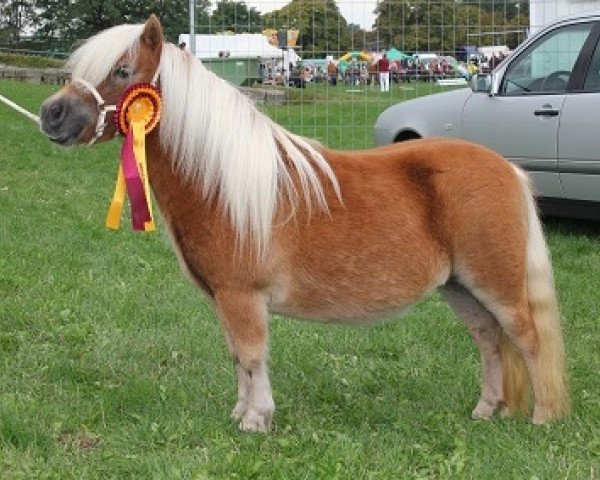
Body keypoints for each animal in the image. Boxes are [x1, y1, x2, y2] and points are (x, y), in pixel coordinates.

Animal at [39, 16, 568, 434]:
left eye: (122, 71)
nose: (51, 113)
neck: (222, 181)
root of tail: (507, 169)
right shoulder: (224, 299)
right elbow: (237, 357)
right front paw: (241, 414)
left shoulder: (243, 297)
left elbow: (253, 356)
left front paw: (257, 420)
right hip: (460, 287)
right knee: (490, 340)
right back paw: (487, 409)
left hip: (495, 283)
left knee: (528, 338)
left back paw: (543, 417)